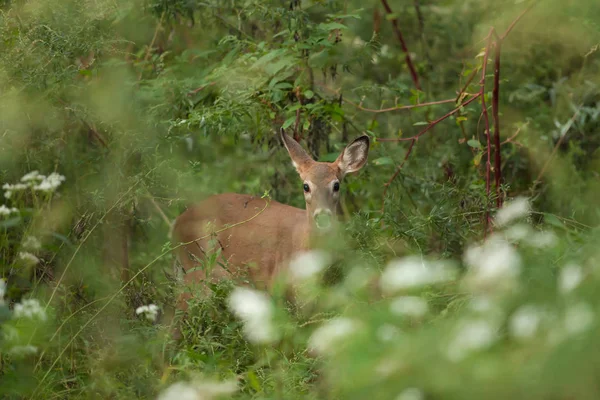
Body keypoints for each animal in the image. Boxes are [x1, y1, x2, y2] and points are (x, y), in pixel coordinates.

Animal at [169, 129, 370, 334]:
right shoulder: (277, 289)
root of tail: (177, 223)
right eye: (306, 186)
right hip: (196, 271)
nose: (322, 216)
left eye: (336, 185)